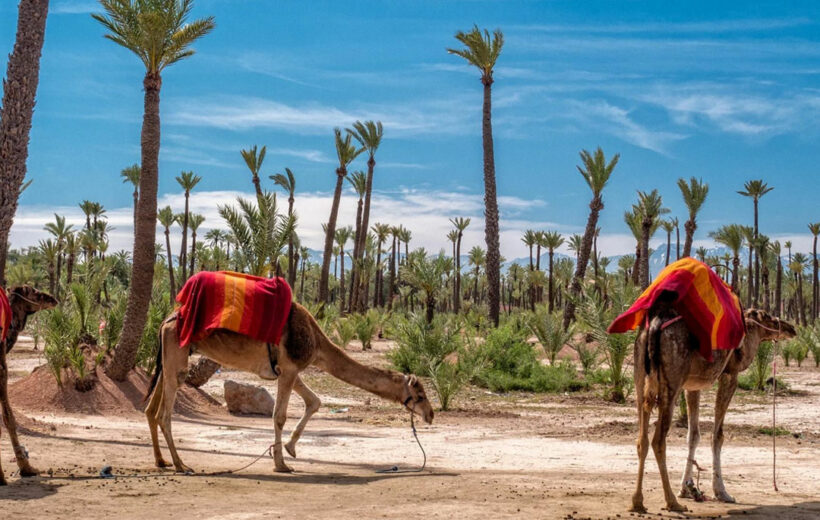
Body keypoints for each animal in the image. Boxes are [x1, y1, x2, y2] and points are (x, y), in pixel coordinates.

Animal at [145, 300, 436, 476]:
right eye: (420, 395)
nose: (431, 415)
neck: (317, 342)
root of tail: (166, 320)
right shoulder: (290, 367)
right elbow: (280, 416)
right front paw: (281, 464)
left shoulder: (289, 370)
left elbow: (314, 401)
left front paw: (290, 448)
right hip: (177, 355)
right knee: (164, 413)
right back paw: (181, 464)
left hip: (170, 358)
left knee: (150, 409)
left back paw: (161, 461)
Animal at [632, 304, 796, 512]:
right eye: (769, 317)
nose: (791, 328)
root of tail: (653, 326)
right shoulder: (730, 375)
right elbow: (718, 435)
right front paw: (722, 492)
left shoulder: (692, 385)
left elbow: (693, 435)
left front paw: (685, 488)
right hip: (672, 382)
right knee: (658, 440)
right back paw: (672, 502)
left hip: (640, 378)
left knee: (642, 440)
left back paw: (637, 502)